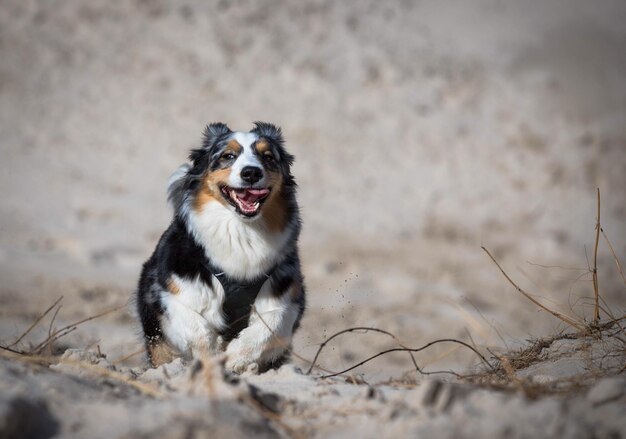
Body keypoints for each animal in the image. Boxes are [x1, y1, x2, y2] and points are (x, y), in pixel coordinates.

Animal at [135, 122, 304, 372]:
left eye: (267, 156)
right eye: (228, 156)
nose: (251, 172)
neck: (241, 230)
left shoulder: (287, 296)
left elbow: (272, 323)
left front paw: (236, 357)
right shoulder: (169, 292)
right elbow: (196, 327)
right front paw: (212, 358)